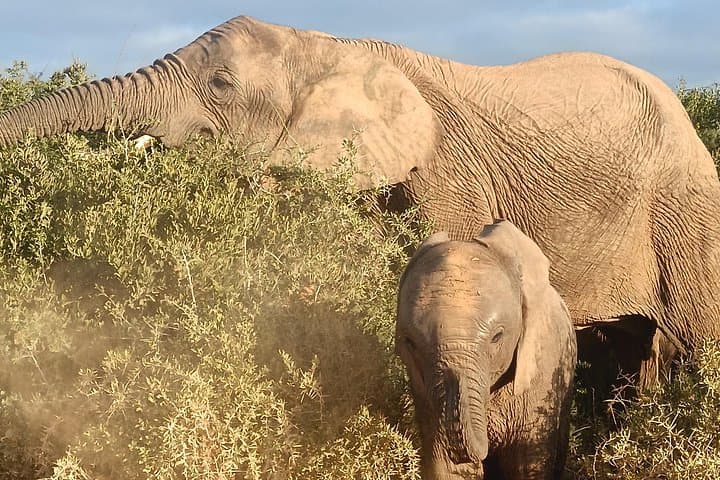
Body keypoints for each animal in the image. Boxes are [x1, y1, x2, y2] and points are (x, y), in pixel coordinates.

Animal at [396, 220, 577, 479]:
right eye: (411, 343)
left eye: (497, 337)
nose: (453, 375)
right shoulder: (423, 392)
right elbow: (447, 467)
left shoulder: (541, 373)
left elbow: (526, 464)